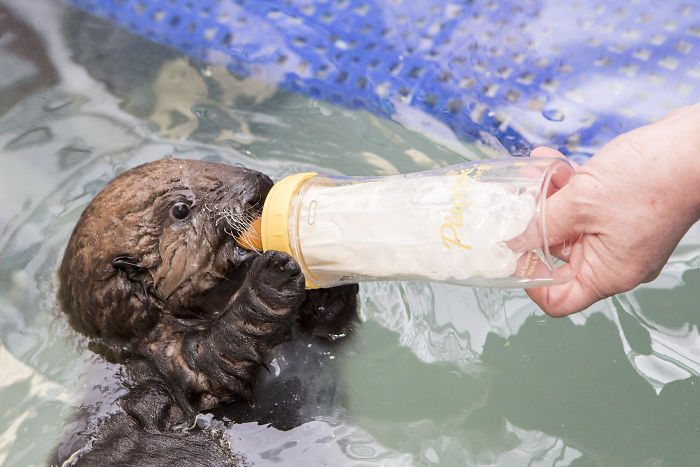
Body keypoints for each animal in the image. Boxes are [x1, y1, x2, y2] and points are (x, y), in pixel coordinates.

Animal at [56, 158, 358, 465]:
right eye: (180, 209)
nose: (260, 183)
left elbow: (328, 325)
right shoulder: (167, 359)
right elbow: (219, 357)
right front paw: (274, 275)